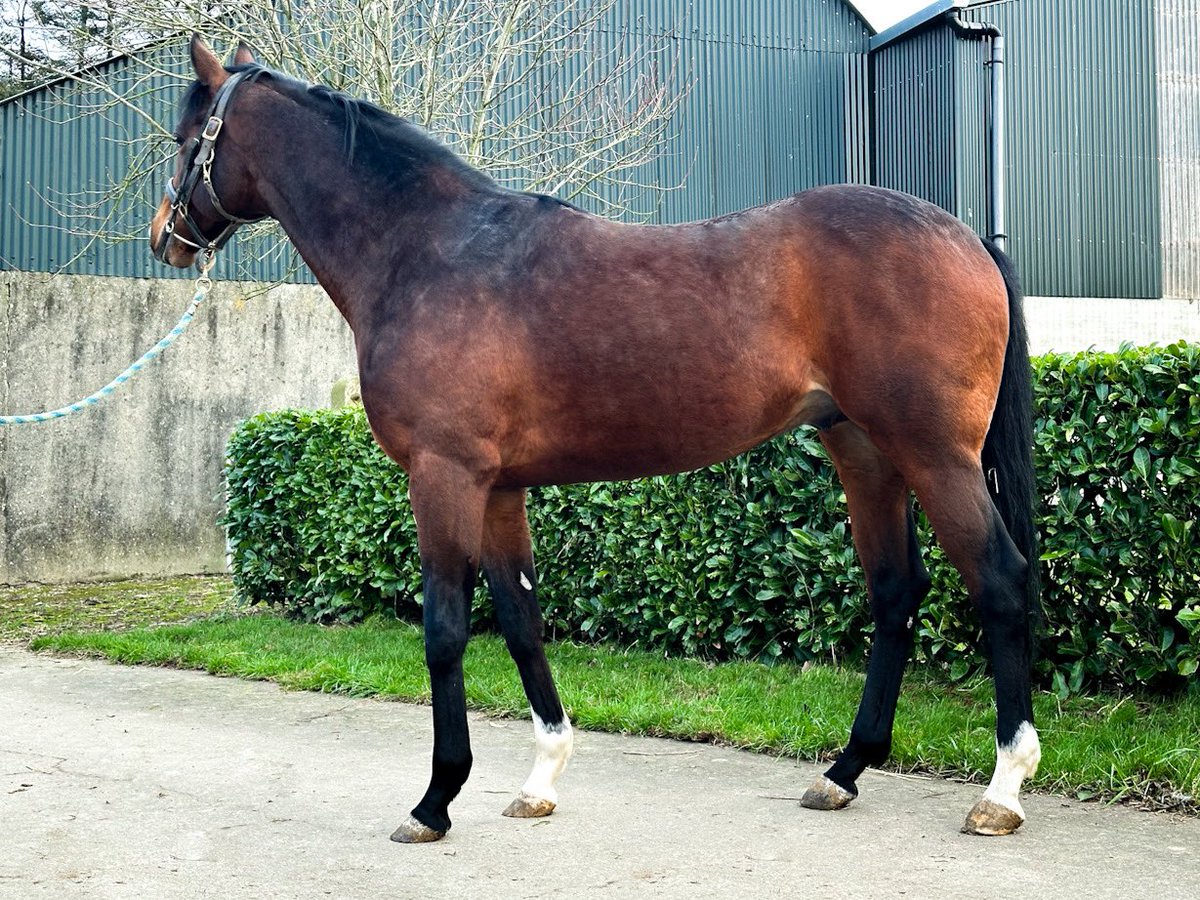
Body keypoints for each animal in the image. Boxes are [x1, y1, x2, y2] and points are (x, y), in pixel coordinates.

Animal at [151, 36, 1042, 843]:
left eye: (188, 135)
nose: (166, 235)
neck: (429, 250)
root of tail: (968, 237)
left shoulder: (444, 475)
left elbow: (445, 631)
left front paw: (436, 800)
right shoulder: (498, 487)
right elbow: (520, 619)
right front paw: (540, 778)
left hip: (935, 455)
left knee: (999, 581)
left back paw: (1001, 791)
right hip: (864, 452)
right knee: (895, 592)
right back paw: (845, 771)